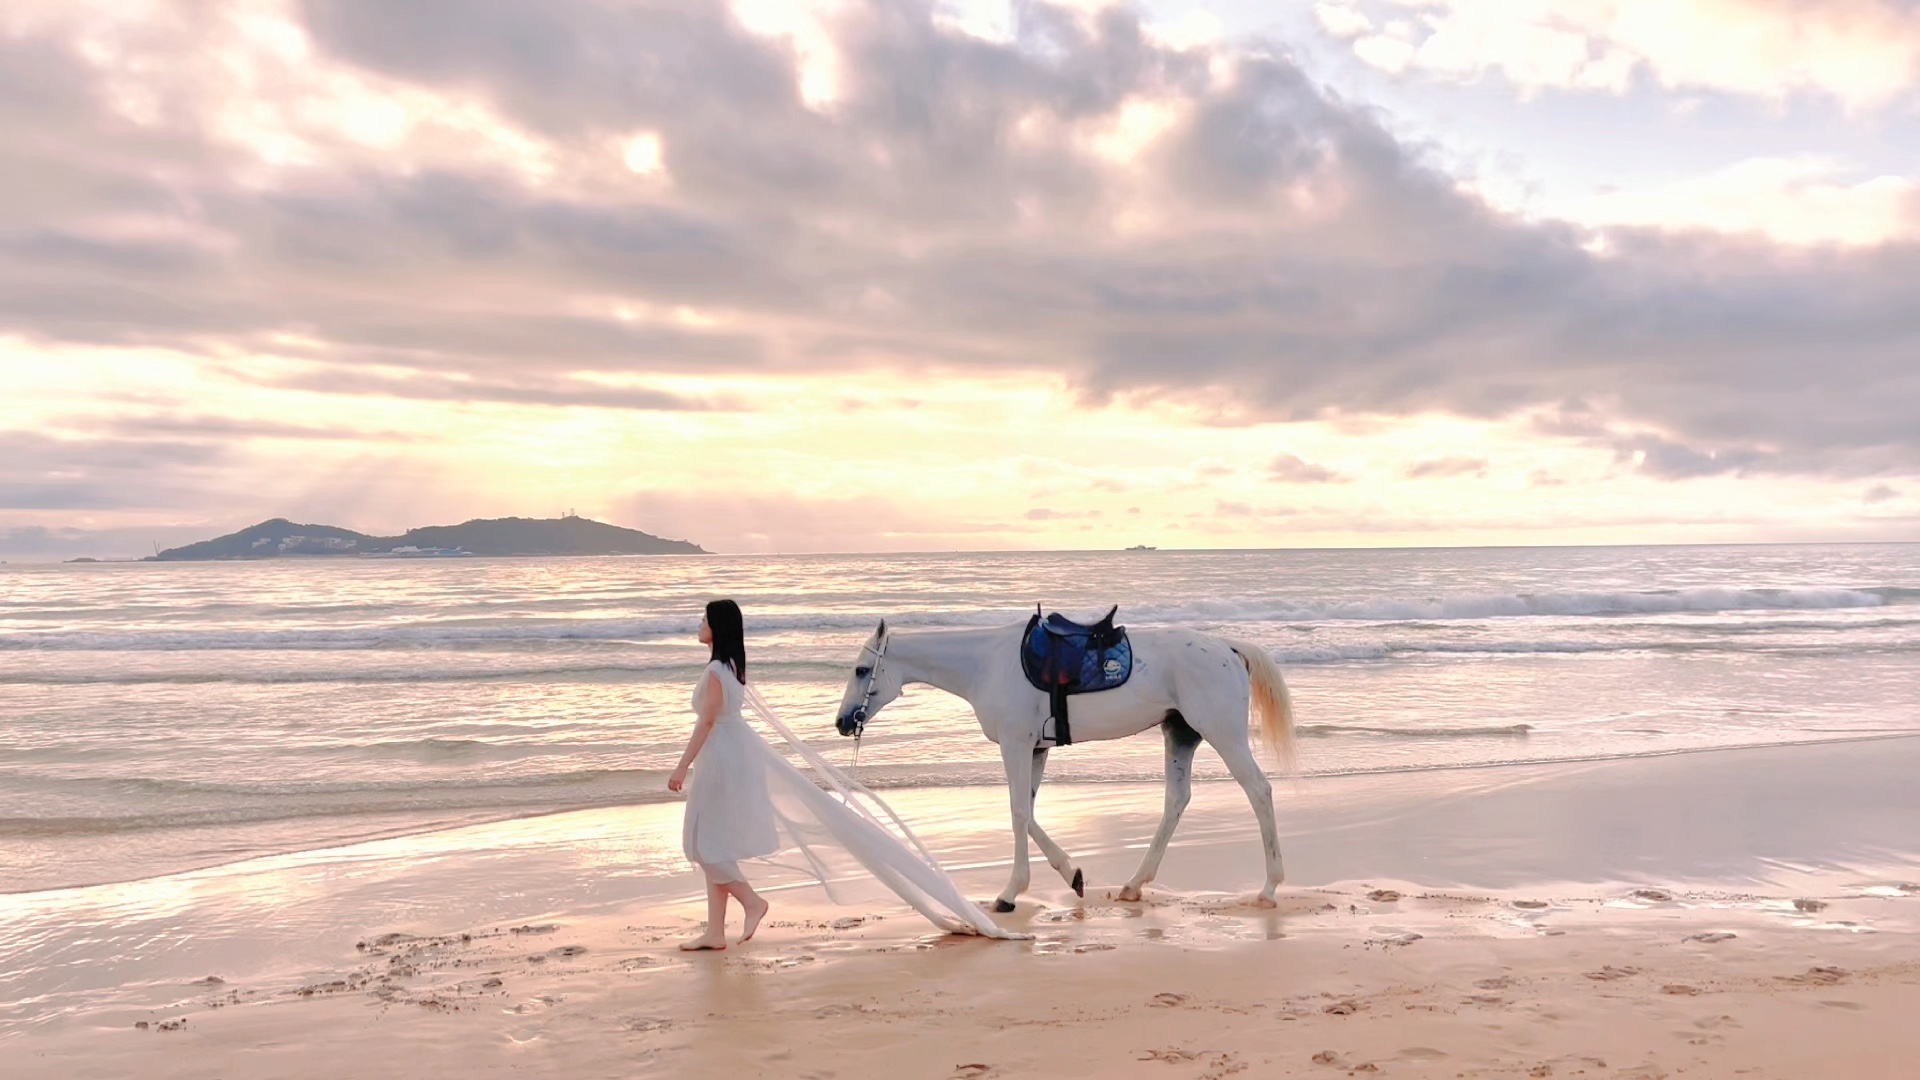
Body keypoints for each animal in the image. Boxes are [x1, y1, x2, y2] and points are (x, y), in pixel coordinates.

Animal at [831, 617, 1297, 912]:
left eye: (862, 670)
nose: (842, 722)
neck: (986, 664)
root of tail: (1228, 648)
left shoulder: (1016, 746)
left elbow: (1018, 812)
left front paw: (1011, 893)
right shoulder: (1036, 750)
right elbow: (1028, 813)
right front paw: (1072, 875)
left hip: (1222, 733)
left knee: (1259, 791)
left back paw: (1269, 887)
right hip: (1180, 733)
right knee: (1176, 801)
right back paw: (1133, 885)